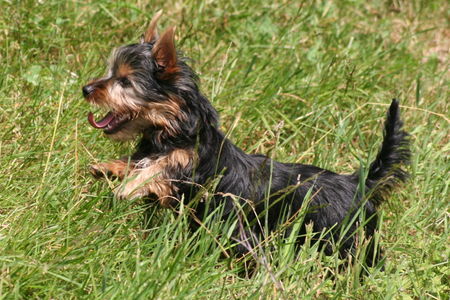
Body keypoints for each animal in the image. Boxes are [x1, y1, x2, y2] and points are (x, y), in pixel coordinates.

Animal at [82, 12, 410, 268]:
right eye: (110, 73)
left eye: (125, 82)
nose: (86, 89)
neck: (172, 133)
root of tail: (357, 182)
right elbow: (137, 162)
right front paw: (108, 168)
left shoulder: (193, 170)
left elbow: (158, 172)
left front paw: (128, 187)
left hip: (345, 237)